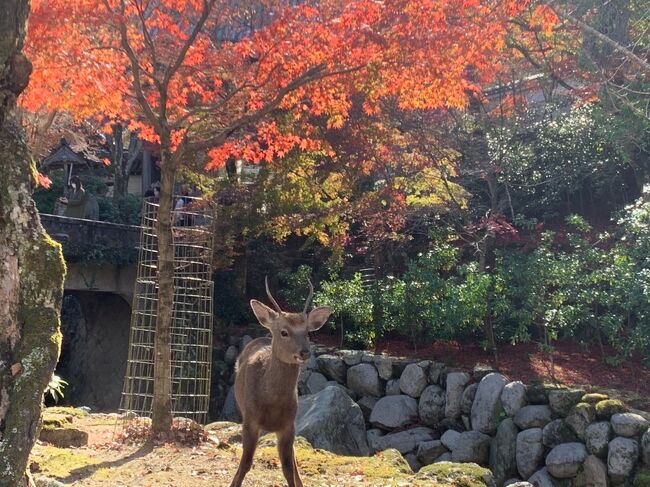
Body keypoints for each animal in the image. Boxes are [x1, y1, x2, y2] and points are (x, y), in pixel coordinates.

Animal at [229, 278, 332, 487]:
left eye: (307, 332)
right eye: (284, 332)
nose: (305, 352)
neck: (271, 404)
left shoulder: (288, 425)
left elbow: (287, 468)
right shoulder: (250, 419)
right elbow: (245, 464)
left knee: (292, 458)